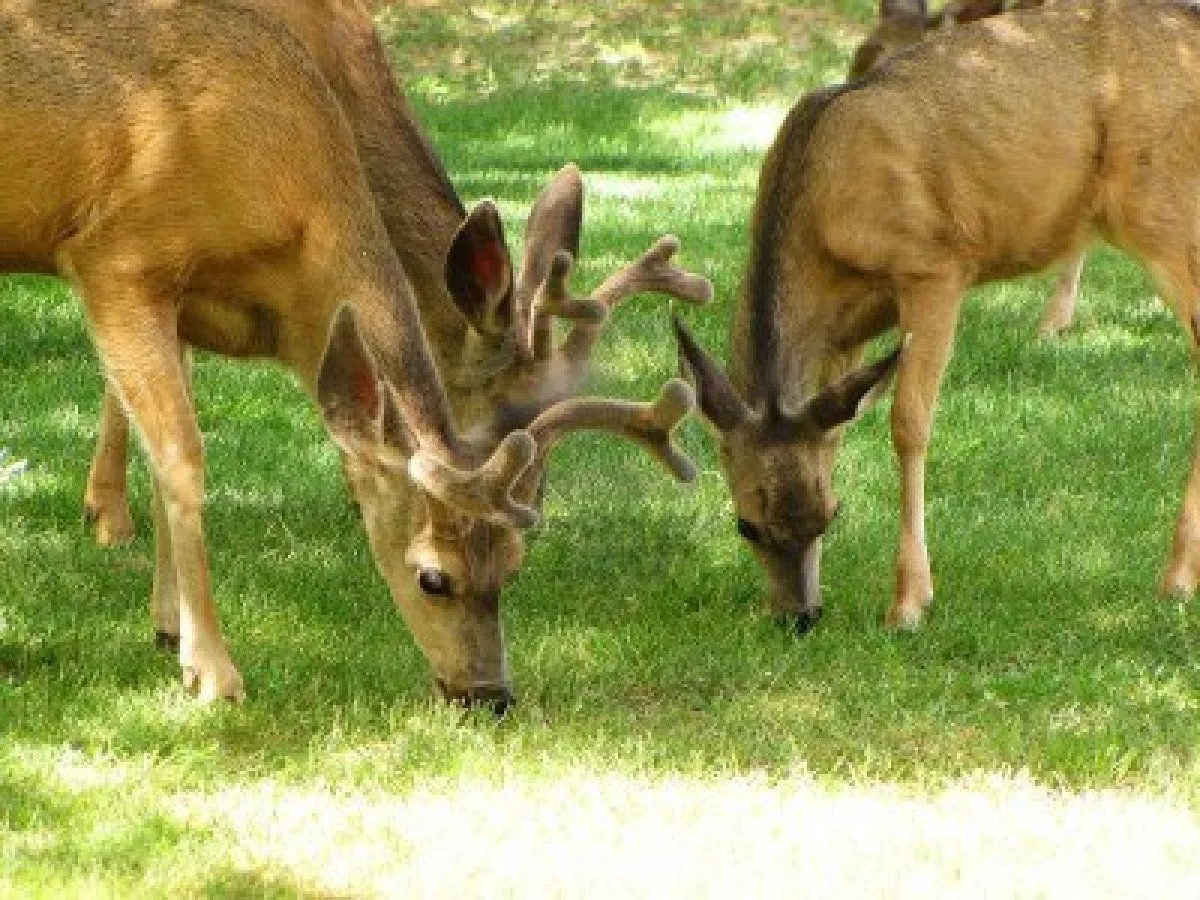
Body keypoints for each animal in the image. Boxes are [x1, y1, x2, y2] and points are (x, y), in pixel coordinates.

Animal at [4, 0, 705, 710]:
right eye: (432, 578)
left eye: (513, 568)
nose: (490, 695)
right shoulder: (118, 256)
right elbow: (181, 457)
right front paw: (213, 671)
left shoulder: (182, 298)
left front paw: (166, 623)